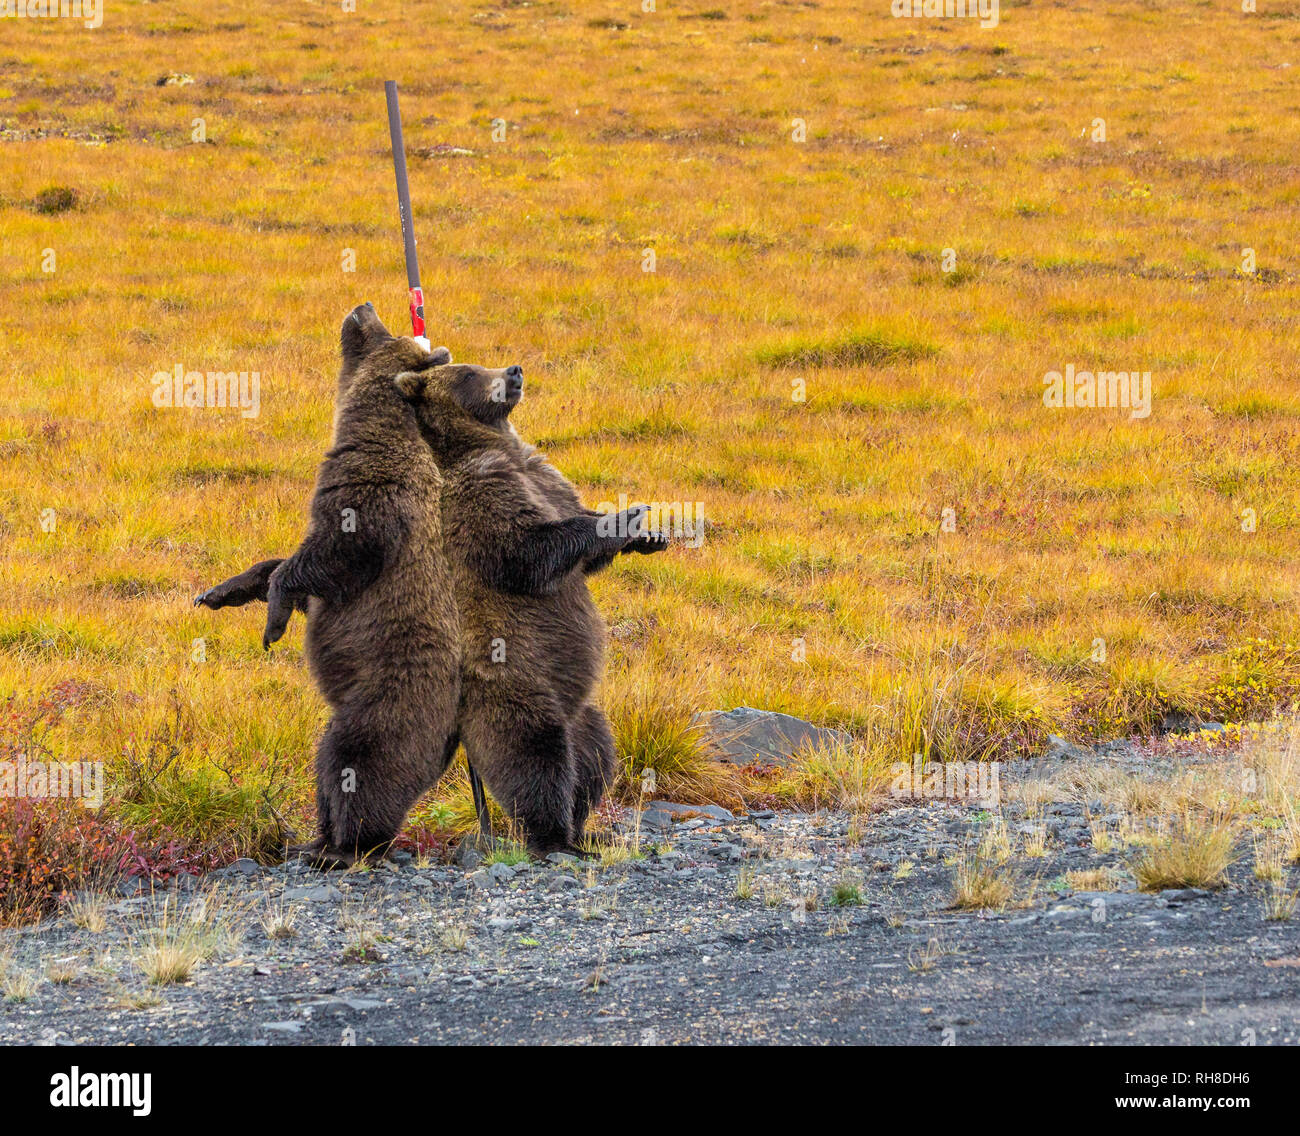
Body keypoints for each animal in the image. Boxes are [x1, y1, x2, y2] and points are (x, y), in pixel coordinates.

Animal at [211, 302, 462, 867]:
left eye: (386, 331)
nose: (362, 307)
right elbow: (287, 566)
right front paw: (222, 591)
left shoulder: (371, 502)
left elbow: (330, 557)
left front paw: (273, 621)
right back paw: (314, 838)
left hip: (385, 701)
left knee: (353, 762)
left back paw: (342, 846)